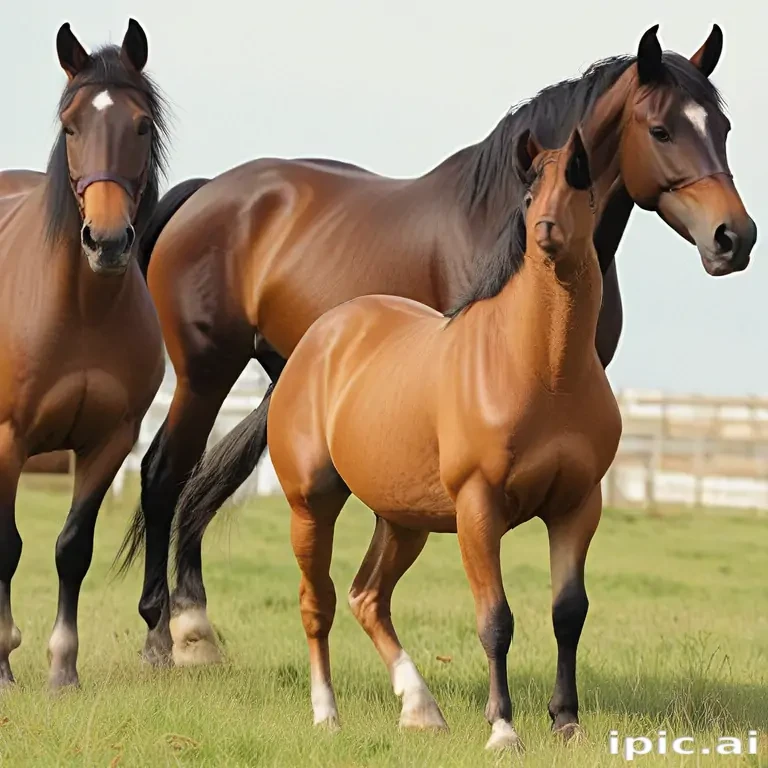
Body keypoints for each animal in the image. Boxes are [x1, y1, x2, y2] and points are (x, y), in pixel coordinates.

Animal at [0, 19, 167, 688]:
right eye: (70, 126)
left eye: (141, 125)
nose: (107, 241)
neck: (81, 310)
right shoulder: (8, 439)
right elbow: (7, 546)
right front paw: (3, 659)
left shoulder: (108, 441)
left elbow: (73, 548)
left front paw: (62, 668)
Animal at [115, 24, 756, 667]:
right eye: (661, 129)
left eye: (723, 128)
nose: (735, 237)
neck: (504, 222)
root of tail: (204, 194)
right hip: (206, 373)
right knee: (164, 472)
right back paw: (163, 634)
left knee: (205, 482)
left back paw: (193, 626)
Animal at [267, 125, 617, 750]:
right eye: (530, 196)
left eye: (583, 189)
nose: (547, 230)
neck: (544, 372)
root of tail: (318, 340)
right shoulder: (479, 509)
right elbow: (495, 620)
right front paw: (503, 728)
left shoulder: (578, 506)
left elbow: (568, 613)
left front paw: (567, 720)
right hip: (312, 505)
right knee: (318, 603)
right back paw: (326, 713)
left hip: (403, 521)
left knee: (367, 598)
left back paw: (420, 707)